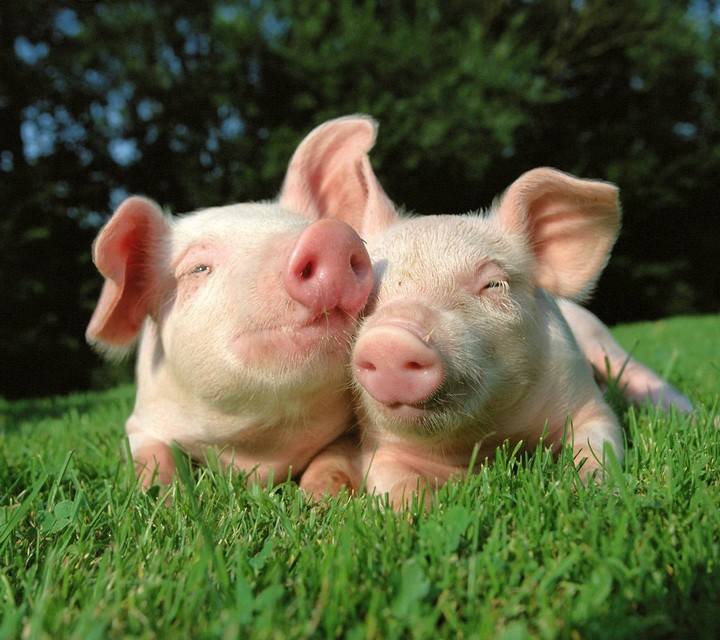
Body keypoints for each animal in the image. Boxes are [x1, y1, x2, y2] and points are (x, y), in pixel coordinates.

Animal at [86, 116, 382, 487]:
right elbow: (152, 457)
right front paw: (161, 495)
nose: (331, 236)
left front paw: (320, 496)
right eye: (198, 268)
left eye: (309, 226)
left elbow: (331, 459)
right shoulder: (140, 423)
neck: (258, 450)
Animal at [299, 118, 693, 507]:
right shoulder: (381, 447)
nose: (391, 339)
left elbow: (597, 444)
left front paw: (585, 492)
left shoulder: (587, 402)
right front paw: (417, 513)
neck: (485, 440)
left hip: (600, 338)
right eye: (366, 293)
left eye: (493, 284)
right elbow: (393, 483)